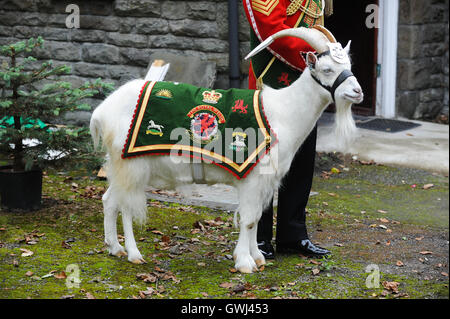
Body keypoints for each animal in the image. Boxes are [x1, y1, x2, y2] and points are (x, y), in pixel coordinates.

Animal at [89, 26, 364, 274]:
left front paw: (258, 257)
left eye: (350, 65)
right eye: (327, 69)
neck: (282, 112)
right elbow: (250, 219)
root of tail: (101, 112)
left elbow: (257, 218)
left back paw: (114, 248)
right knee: (126, 205)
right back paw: (134, 254)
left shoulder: (264, 181)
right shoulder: (252, 177)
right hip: (131, 164)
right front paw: (245, 262)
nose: (358, 91)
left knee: (109, 199)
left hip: (119, 164)